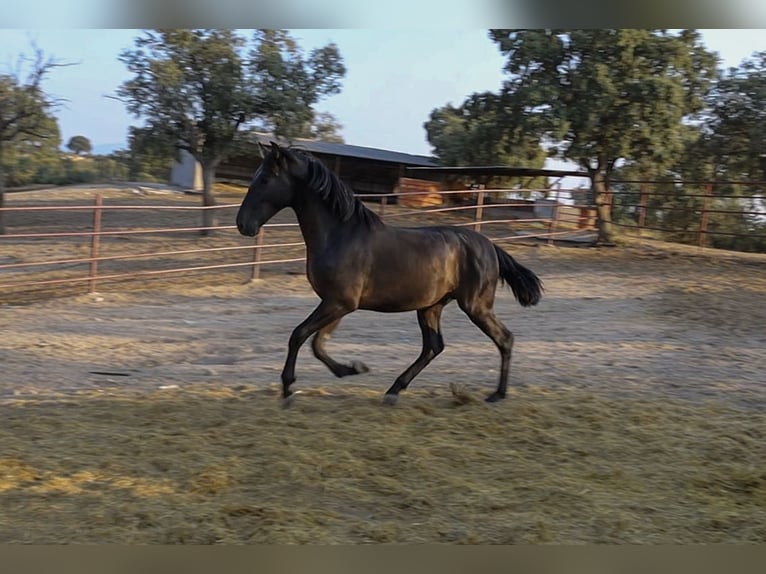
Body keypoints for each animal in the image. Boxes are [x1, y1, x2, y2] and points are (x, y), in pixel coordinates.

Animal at [237, 142, 544, 408]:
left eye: (265, 179)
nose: (243, 224)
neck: (340, 235)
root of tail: (489, 246)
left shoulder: (339, 303)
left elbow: (299, 335)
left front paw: (288, 389)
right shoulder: (337, 304)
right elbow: (318, 344)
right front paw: (352, 368)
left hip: (475, 306)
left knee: (504, 339)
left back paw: (497, 394)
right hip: (430, 306)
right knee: (433, 347)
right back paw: (394, 390)